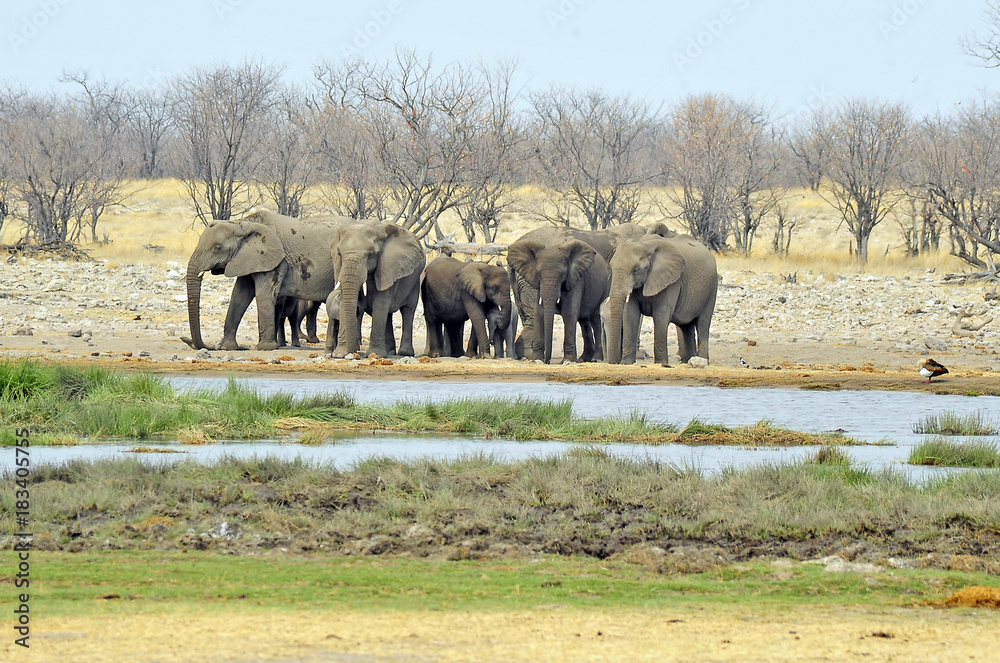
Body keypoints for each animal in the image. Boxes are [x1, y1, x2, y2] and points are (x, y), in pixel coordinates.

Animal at [183, 210, 349, 351]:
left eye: (217, 248)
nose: (210, 347)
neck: (242, 223)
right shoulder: (247, 258)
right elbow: (240, 296)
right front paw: (227, 347)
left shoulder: (275, 261)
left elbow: (264, 295)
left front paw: (265, 348)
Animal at [329, 221, 425, 358]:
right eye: (339, 254)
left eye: (371, 254)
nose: (355, 352)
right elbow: (344, 301)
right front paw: (340, 354)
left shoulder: (387, 267)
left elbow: (380, 304)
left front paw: (375, 354)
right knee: (388, 315)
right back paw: (389, 351)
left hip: (415, 280)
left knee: (408, 311)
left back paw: (405, 353)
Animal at [605, 234, 718, 366]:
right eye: (612, 268)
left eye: (636, 270)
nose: (615, 362)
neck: (645, 245)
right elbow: (630, 315)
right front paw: (627, 363)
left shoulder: (672, 281)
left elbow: (661, 315)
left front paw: (661, 363)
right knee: (685, 326)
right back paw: (687, 361)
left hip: (712, 287)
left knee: (703, 323)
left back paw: (702, 361)